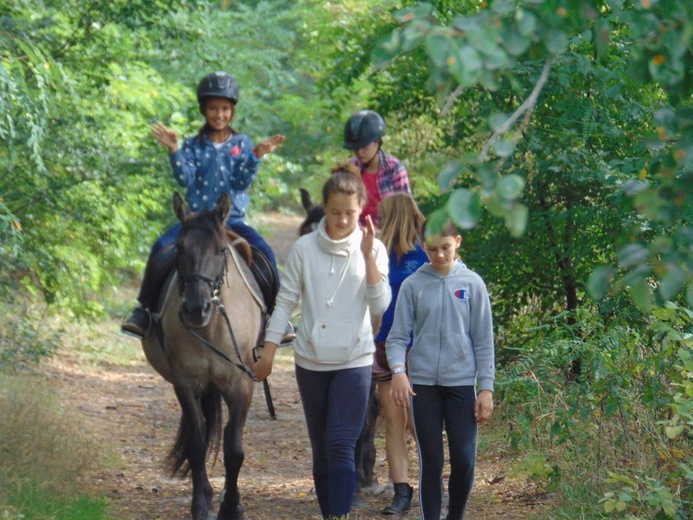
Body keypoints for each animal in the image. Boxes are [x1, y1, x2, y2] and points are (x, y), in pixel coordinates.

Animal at [142, 192, 264, 520]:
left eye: (221, 250)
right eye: (179, 249)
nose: (197, 309)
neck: (211, 328)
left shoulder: (240, 385)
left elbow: (234, 450)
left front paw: (232, 507)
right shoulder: (186, 384)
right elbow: (197, 446)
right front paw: (200, 505)